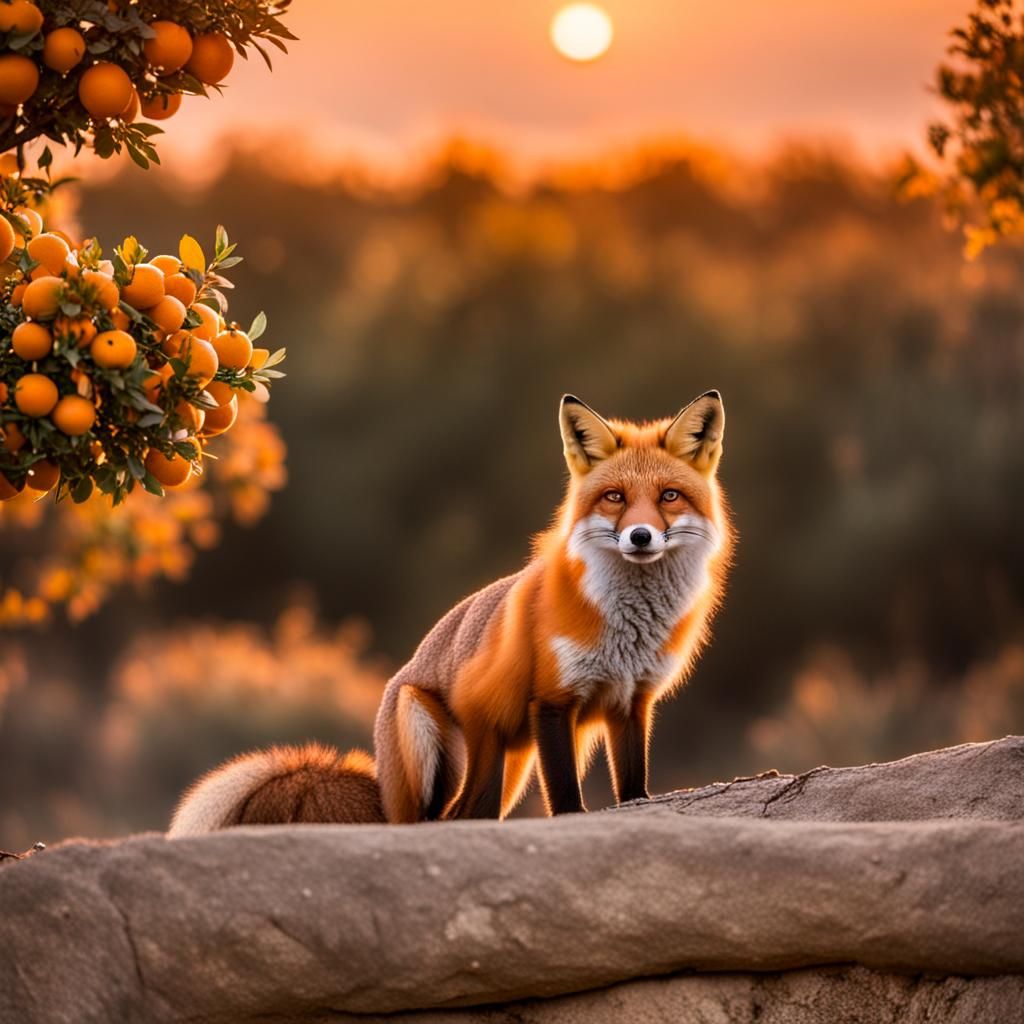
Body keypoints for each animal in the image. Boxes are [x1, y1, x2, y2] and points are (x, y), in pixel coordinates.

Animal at [168, 391, 731, 835]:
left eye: (669, 496)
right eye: (615, 497)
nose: (640, 536)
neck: (627, 627)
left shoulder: (632, 701)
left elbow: (634, 788)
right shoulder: (551, 701)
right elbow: (567, 800)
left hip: (508, 767)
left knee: (471, 817)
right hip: (436, 746)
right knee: (431, 823)